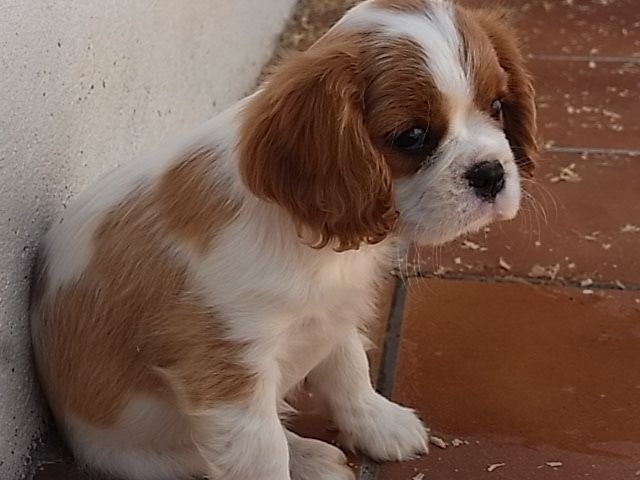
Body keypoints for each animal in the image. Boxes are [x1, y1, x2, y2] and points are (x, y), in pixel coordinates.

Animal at [31, 0, 537, 478]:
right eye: (412, 136)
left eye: (496, 106)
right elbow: (263, 453)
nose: (491, 174)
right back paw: (308, 458)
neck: (315, 243)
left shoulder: (335, 311)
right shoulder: (228, 374)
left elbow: (348, 368)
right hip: (140, 455)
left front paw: (379, 424)